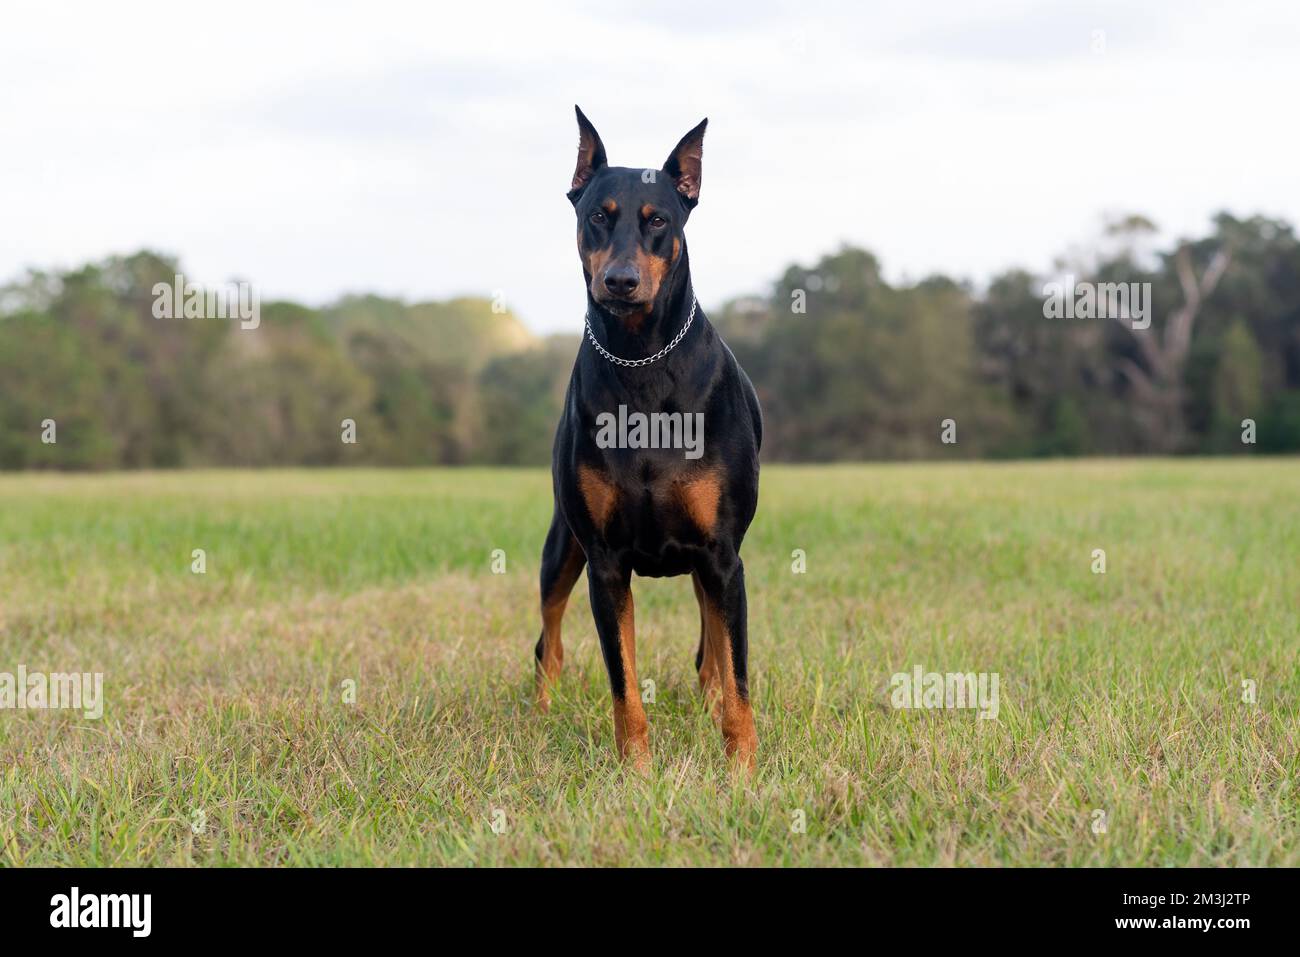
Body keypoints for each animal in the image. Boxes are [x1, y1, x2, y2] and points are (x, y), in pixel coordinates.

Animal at [535, 108, 759, 774]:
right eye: (597, 216)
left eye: (658, 219)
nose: (620, 281)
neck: (642, 359)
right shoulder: (605, 562)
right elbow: (623, 680)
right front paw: (636, 771)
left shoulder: (721, 554)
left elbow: (736, 673)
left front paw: (743, 768)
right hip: (562, 547)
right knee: (547, 643)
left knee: (712, 652)